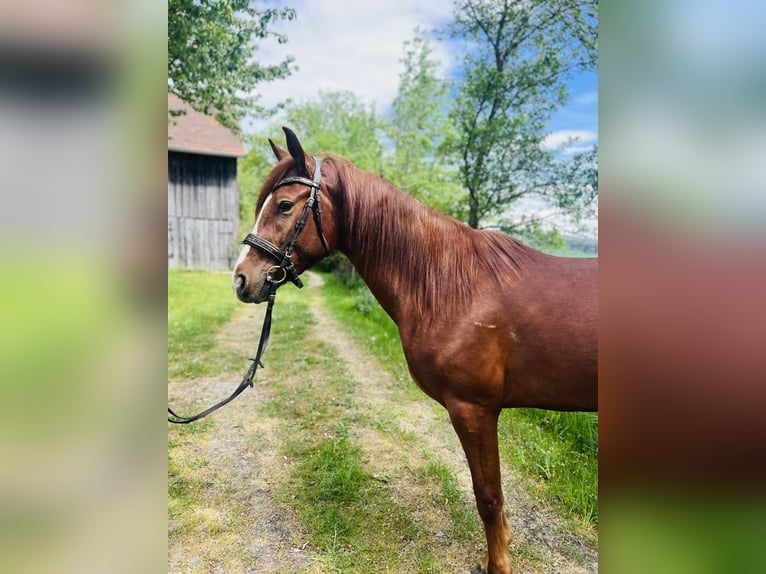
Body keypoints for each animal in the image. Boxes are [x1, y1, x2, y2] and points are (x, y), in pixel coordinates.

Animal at [233, 127, 597, 574]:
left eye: (284, 205)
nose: (241, 279)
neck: (453, 285)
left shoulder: (474, 410)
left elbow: (489, 498)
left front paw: (498, 564)